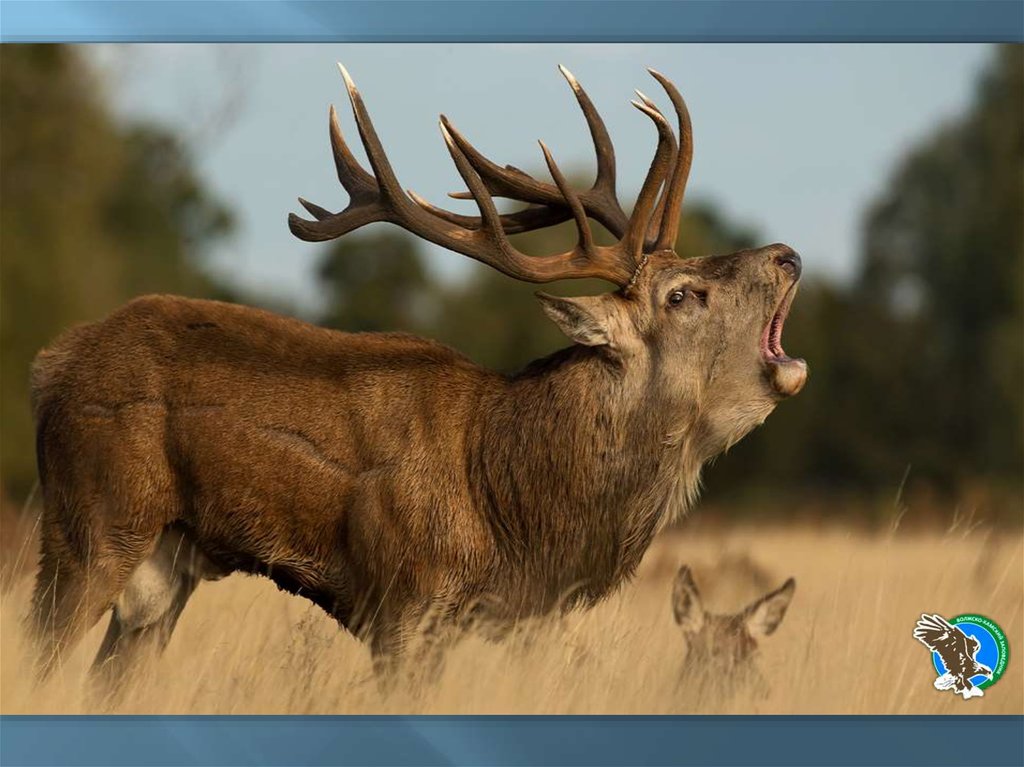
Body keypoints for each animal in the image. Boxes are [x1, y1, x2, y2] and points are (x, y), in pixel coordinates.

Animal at [28, 67, 802, 688]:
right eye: (682, 294)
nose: (787, 253)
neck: (514, 504)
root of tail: (49, 364)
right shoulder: (403, 603)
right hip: (89, 525)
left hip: (164, 566)